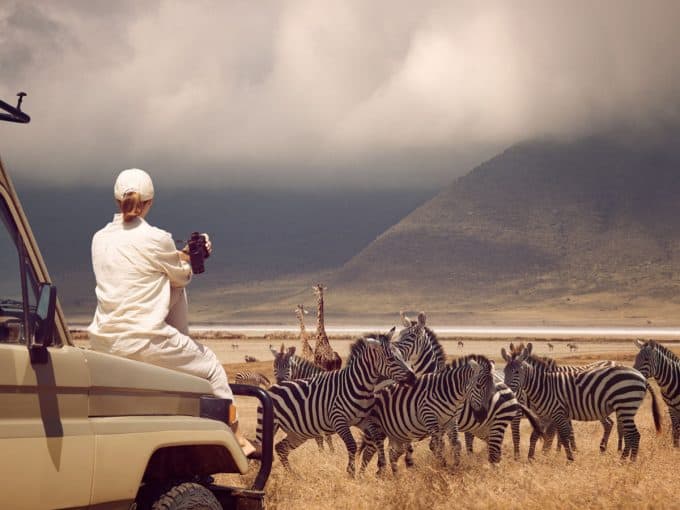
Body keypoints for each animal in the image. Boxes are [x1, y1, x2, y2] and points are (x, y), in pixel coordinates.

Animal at [255, 328, 414, 476]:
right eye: (391, 359)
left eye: (401, 355)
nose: (413, 377)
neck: (358, 385)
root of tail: (272, 388)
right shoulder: (339, 421)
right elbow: (351, 445)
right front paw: (350, 472)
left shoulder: (364, 420)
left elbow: (377, 439)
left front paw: (381, 466)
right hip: (268, 425)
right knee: (260, 447)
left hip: (298, 432)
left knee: (281, 448)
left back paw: (292, 475)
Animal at [358, 354, 496, 474]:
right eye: (478, 386)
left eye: (492, 388)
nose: (482, 416)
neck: (452, 394)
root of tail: (374, 392)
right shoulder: (429, 417)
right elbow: (437, 446)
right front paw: (442, 468)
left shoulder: (451, 420)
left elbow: (456, 444)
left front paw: (456, 467)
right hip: (376, 429)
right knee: (369, 452)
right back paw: (364, 477)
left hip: (396, 433)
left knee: (393, 452)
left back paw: (395, 476)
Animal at [504, 342, 660, 462]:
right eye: (505, 372)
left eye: (516, 372)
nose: (507, 392)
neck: (544, 386)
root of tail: (641, 377)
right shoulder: (545, 416)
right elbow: (536, 435)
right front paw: (531, 458)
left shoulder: (557, 412)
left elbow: (561, 436)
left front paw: (568, 458)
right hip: (624, 408)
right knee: (625, 431)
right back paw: (621, 457)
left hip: (626, 406)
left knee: (634, 434)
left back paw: (629, 461)